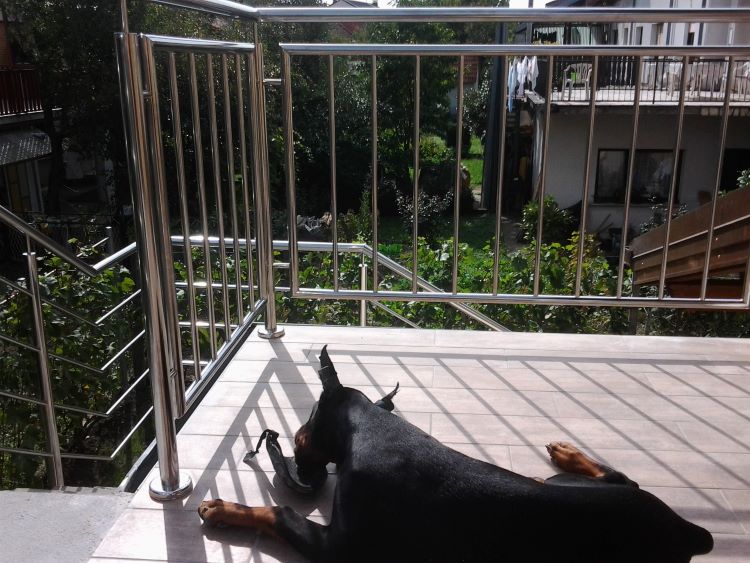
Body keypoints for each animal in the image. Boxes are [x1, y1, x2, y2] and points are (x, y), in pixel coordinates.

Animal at [199, 346, 713, 562]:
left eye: (305, 421)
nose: (294, 441)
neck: (373, 429)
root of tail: (689, 531)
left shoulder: (342, 548)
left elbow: (279, 513)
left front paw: (222, 507)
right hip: (570, 485)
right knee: (620, 477)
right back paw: (567, 453)